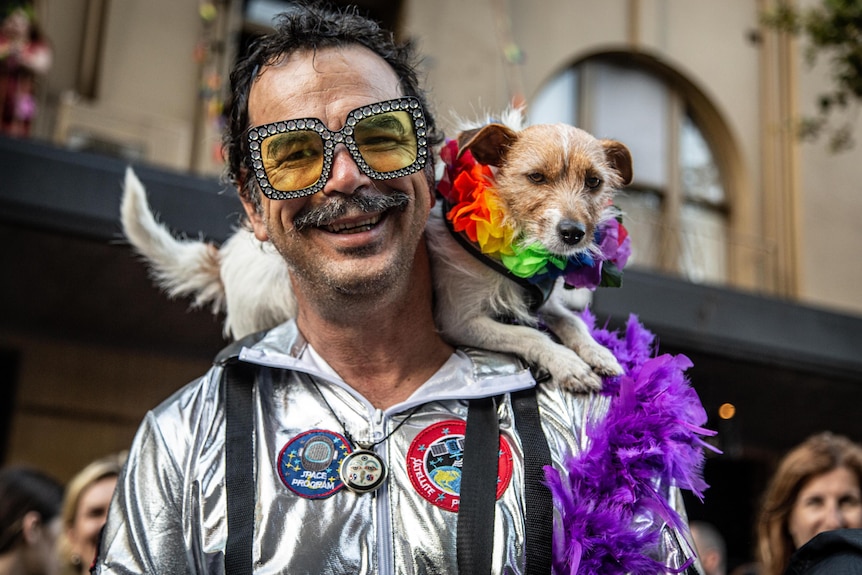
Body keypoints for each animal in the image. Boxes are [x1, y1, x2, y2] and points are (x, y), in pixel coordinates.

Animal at [121, 114, 636, 392]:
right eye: (535, 178)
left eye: (594, 182)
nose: (573, 234)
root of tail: (225, 258)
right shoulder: (459, 321)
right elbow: (532, 336)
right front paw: (569, 365)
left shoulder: (538, 296)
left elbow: (568, 321)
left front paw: (597, 354)